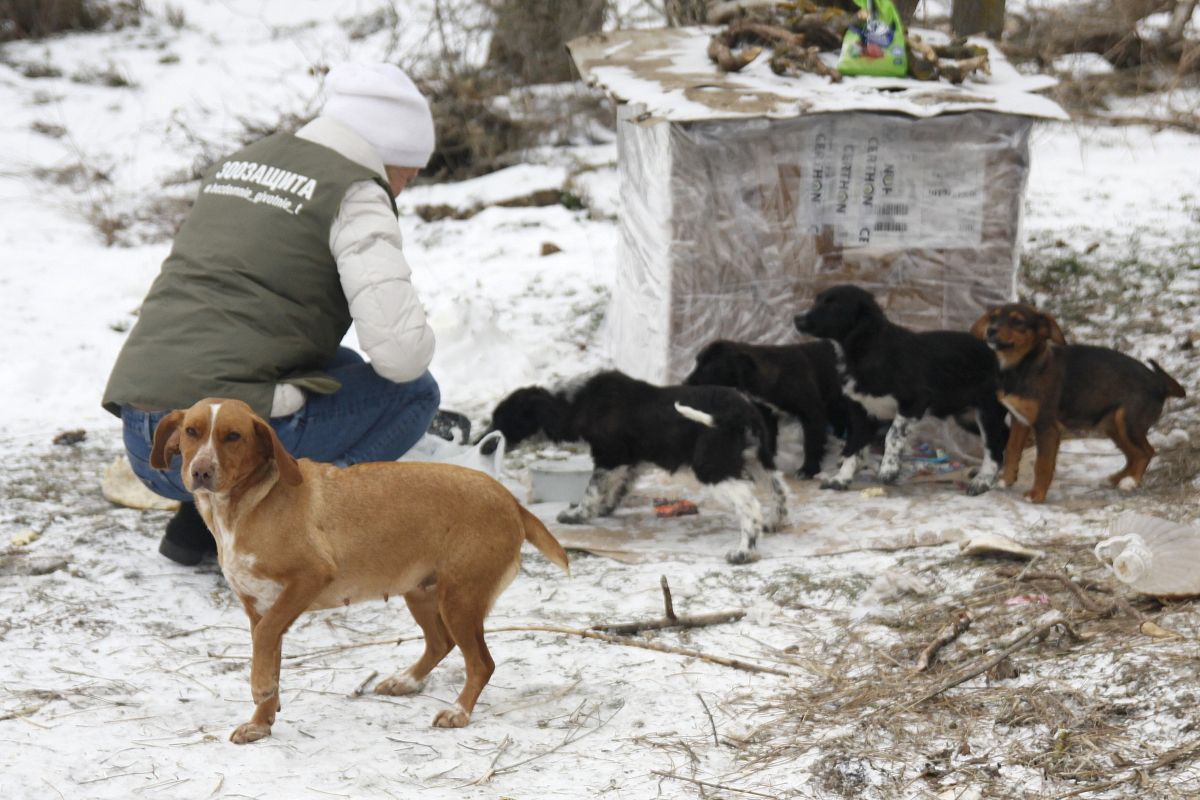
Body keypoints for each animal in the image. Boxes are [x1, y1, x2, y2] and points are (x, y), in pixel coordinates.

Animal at [147, 398, 568, 743]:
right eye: (191, 432)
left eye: (233, 436)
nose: (201, 471)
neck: (246, 505)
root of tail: (510, 500)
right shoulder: (259, 608)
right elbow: (267, 654)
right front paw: (261, 722)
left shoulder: (308, 579)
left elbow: (265, 650)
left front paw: (260, 687)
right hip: (421, 591)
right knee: (440, 643)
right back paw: (406, 681)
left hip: (461, 599)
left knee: (481, 662)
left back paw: (458, 712)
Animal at [482, 371, 792, 566]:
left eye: (502, 420)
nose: (480, 443)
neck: (574, 402)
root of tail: (742, 411)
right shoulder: (630, 462)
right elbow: (616, 489)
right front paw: (603, 510)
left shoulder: (610, 456)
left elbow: (592, 490)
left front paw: (578, 515)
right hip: (758, 457)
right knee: (780, 490)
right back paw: (774, 522)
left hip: (713, 466)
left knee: (749, 507)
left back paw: (743, 553)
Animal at [686, 335, 844, 474]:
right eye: (697, 361)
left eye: (707, 367)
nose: (685, 383)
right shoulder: (765, 414)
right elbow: (768, 438)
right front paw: (767, 460)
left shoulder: (812, 412)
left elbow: (812, 443)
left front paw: (808, 470)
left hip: (834, 402)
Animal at [796, 281, 1012, 494]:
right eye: (817, 301)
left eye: (833, 305)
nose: (796, 319)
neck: (866, 350)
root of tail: (991, 352)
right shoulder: (861, 411)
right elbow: (853, 446)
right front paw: (841, 478)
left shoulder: (916, 400)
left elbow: (892, 434)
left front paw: (889, 468)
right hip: (966, 417)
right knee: (1003, 436)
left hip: (987, 411)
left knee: (993, 447)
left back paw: (982, 480)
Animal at [969, 303, 1185, 503]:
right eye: (993, 317)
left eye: (1017, 321)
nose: (991, 330)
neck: (1022, 366)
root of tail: (1160, 383)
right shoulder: (1019, 420)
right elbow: (1012, 451)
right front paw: (1006, 480)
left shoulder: (1047, 426)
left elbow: (1043, 464)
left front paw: (1037, 495)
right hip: (1113, 425)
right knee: (1134, 454)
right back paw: (1118, 478)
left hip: (1129, 423)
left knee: (1146, 452)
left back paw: (1130, 482)